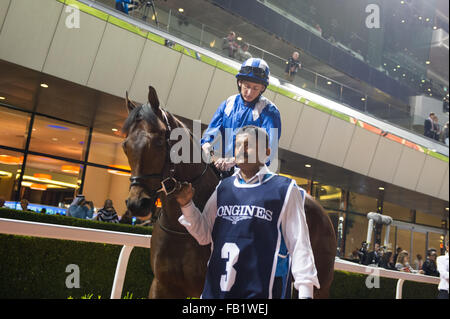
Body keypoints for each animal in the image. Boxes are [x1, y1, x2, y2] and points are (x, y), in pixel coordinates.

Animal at [121, 85, 336, 300]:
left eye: (159, 141)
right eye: (125, 145)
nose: (137, 203)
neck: (179, 229)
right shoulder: (162, 285)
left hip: (320, 286)